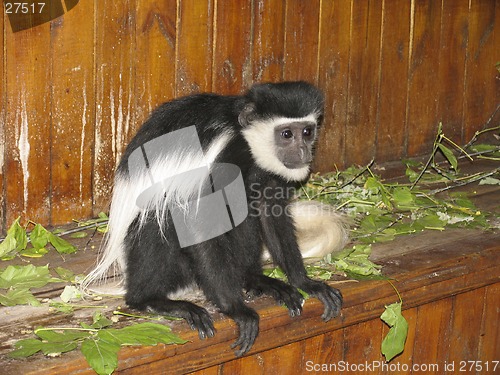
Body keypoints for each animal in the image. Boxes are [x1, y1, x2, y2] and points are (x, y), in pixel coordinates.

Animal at [84, 81, 346, 356]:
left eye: (307, 131)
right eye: (286, 134)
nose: (304, 151)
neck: (245, 141)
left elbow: (269, 211)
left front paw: (305, 282)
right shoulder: (221, 159)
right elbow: (200, 223)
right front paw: (236, 310)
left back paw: (254, 279)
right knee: (159, 220)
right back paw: (151, 300)